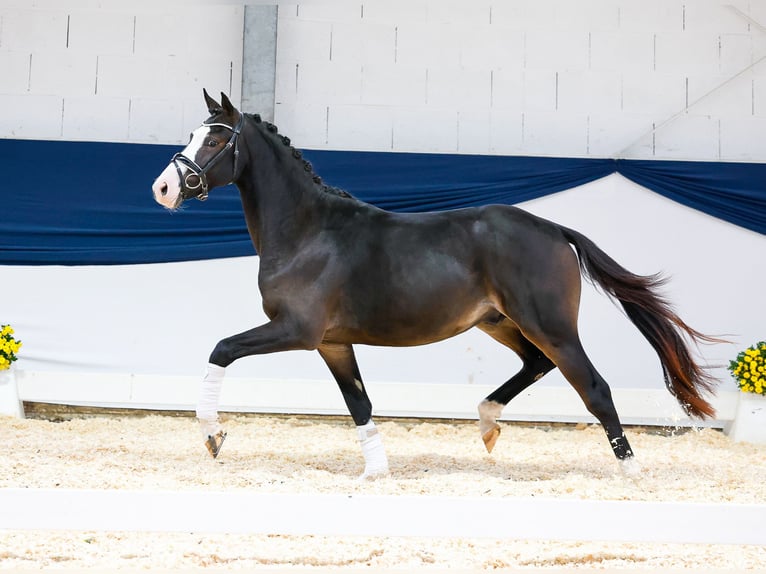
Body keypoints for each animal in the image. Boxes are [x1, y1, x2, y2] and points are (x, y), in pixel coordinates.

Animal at [153, 90, 724, 476]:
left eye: (216, 138)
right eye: (192, 135)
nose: (163, 188)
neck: (307, 231)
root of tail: (553, 229)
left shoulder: (297, 330)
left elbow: (221, 349)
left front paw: (213, 436)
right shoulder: (333, 343)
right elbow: (359, 403)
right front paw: (376, 471)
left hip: (551, 326)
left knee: (594, 387)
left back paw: (630, 472)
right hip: (500, 322)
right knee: (535, 365)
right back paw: (488, 425)